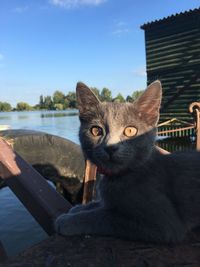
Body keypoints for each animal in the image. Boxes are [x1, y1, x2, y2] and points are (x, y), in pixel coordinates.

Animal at [54, 82, 200, 245]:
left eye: (130, 131)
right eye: (96, 131)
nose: (110, 147)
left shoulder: (162, 224)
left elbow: (105, 216)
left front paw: (68, 220)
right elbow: (101, 204)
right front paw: (79, 208)